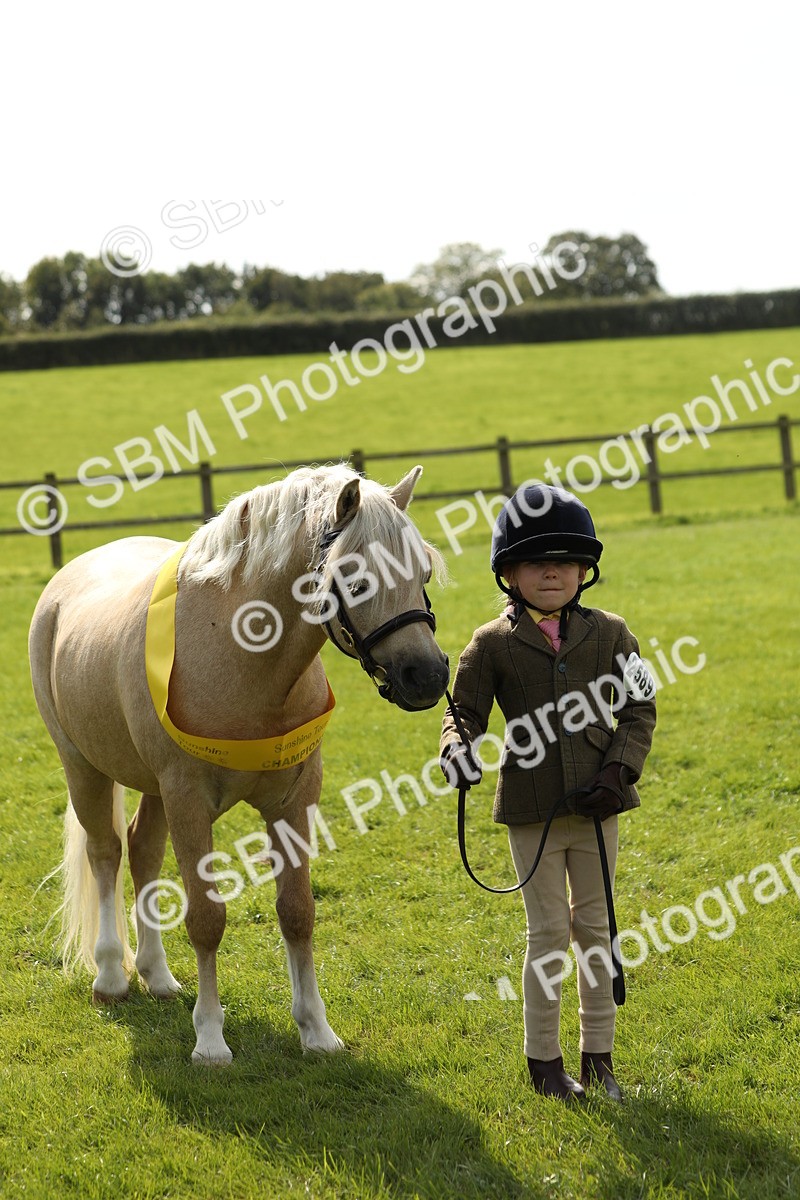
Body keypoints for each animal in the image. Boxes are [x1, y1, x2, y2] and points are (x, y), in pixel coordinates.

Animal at [28, 463, 449, 1064]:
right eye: (355, 578)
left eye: (423, 571)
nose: (428, 675)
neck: (240, 658)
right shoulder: (188, 800)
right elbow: (207, 918)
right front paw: (209, 1039)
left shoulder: (293, 800)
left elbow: (297, 911)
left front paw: (317, 1031)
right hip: (83, 767)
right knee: (105, 853)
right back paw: (111, 977)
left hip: (153, 789)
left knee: (142, 851)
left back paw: (157, 976)